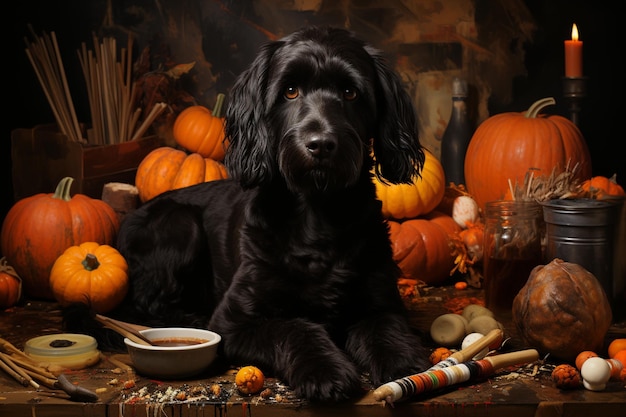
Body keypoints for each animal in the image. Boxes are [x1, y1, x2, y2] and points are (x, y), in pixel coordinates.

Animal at [70, 25, 428, 400]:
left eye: (350, 92)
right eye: (290, 90)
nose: (320, 144)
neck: (317, 214)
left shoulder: (382, 303)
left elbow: (385, 329)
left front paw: (404, 365)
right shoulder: (234, 321)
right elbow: (294, 328)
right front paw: (325, 371)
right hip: (179, 224)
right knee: (147, 303)